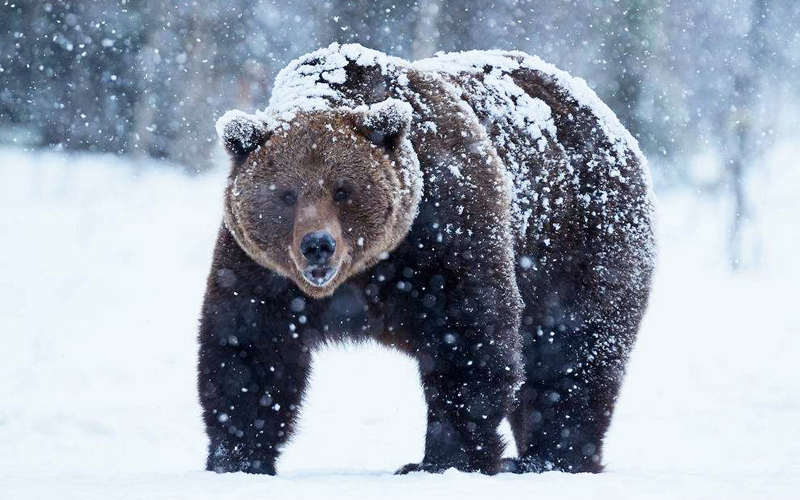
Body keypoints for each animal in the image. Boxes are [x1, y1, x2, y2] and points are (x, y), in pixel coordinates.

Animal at [198, 44, 656, 476]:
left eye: (343, 190)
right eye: (286, 195)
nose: (318, 245)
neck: (366, 271)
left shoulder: (446, 233)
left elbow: (469, 340)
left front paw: (440, 459)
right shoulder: (260, 269)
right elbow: (248, 348)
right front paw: (238, 458)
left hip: (580, 242)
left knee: (572, 353)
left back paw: (550, 458)